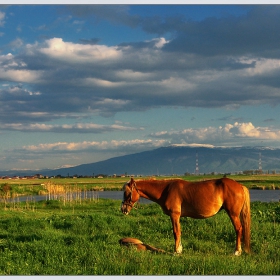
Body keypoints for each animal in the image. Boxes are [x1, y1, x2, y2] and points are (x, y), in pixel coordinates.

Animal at [121, 177, 252, 256]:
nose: (123, 209)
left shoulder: (174, 215)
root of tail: (240, 186)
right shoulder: (176, 217)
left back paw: (237, 251)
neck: (165, 190)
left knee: (238, 229)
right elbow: (179, 231)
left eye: (127, 193)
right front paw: (179, 249)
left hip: (233, 214)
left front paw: (176, 251)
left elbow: (176, 232)